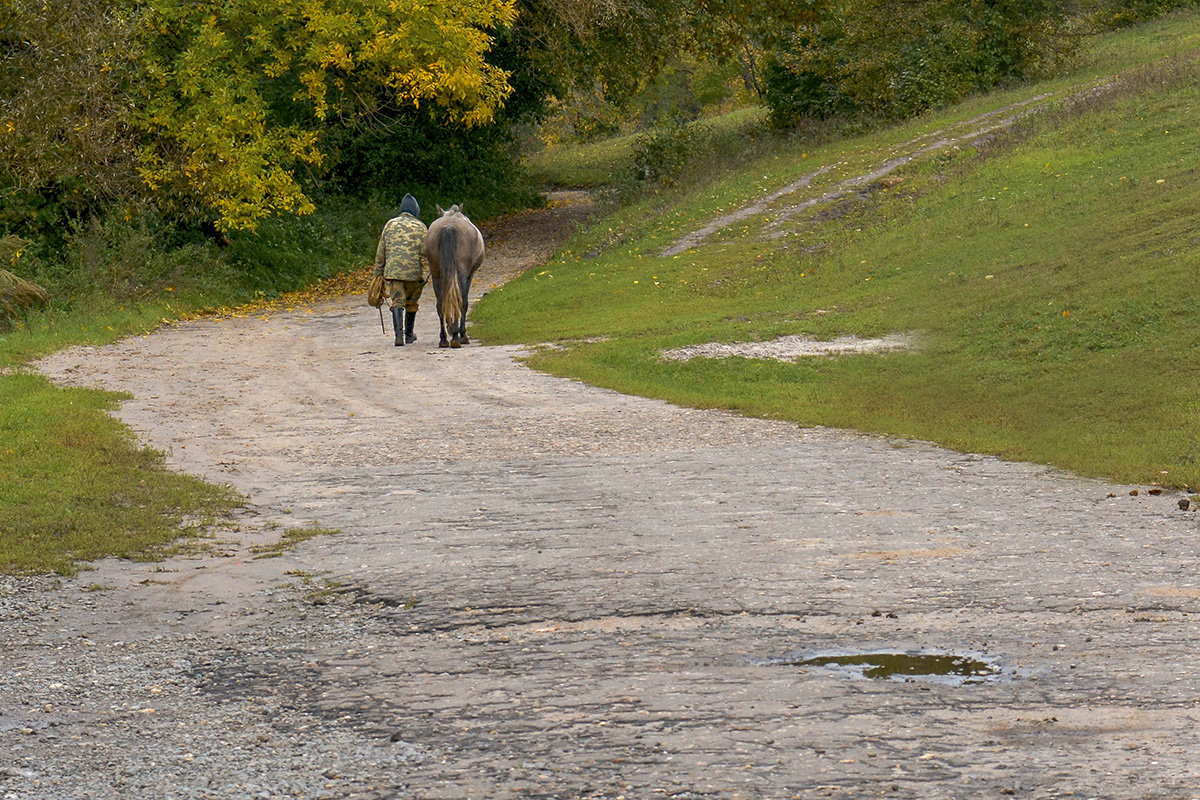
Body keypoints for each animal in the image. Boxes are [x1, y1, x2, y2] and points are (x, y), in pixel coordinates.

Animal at [420, 203, 480, 347]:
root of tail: (449, 227)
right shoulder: (469, 275)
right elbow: (464, 303)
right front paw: (458, 332)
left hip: (436, 275)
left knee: (440, 304)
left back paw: (443, 339)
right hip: (462, 275)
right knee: (460, 301)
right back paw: (458, 337)